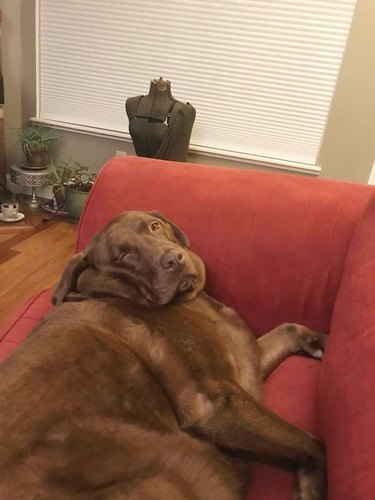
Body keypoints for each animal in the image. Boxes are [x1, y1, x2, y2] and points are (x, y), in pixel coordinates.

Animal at [0, 211, 328, 500]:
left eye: (154, 226)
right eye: (124, 255)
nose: (175, 259)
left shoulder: (246, 358)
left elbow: (289, 328)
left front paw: (321, 340)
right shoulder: (215, 402)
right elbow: (316, 447)